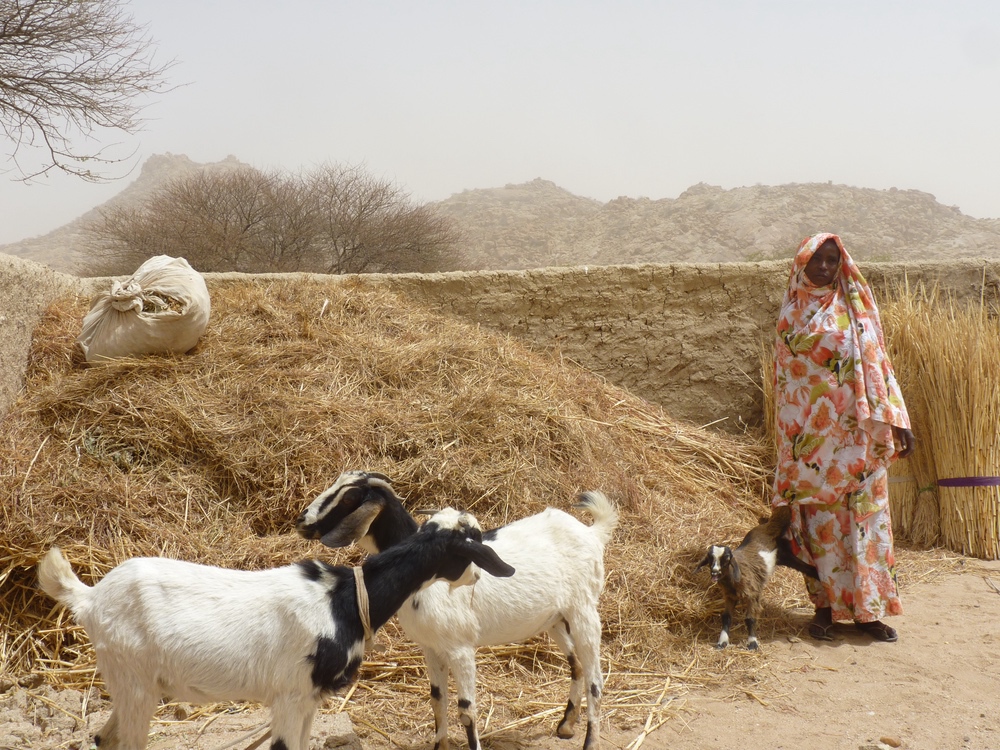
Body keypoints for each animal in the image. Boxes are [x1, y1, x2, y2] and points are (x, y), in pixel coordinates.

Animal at [37, 508, 516, 748]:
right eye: (471, 546)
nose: (477, 577)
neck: (343, 600)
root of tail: (90, 598)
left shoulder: (309, 700)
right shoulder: (290, 695)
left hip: (130, 682)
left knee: (104, 738)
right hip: (135, 680)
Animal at [294, 472, 616, 748]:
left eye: (349, 498)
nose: (302, 521)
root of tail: (591, 532)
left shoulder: (461, 648)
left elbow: (466, 710)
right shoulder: (431, 647)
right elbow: (437, 699)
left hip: (584, 611)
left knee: (596, 680)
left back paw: (590, 741)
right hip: (556, 619)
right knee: (577, 665)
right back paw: (566, 725)